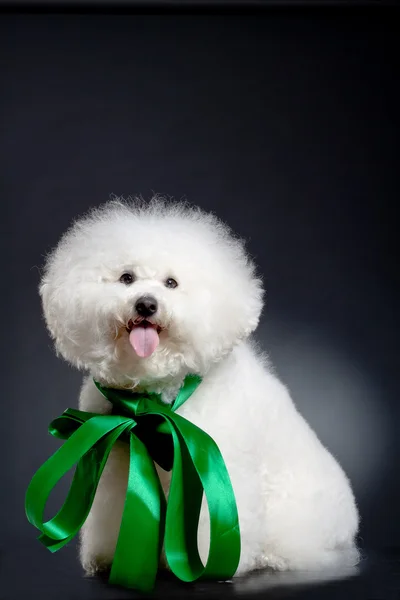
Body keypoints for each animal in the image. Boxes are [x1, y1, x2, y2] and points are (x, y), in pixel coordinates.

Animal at [39, 199, 360, 580]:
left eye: (171, 283)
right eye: (126, 278)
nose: (146, 304)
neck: (154, 398)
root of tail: (347, 526)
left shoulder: (213, 463)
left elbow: (212, 520)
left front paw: (209, 564)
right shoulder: (120, 463)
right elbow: (114, 511)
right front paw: (111, 556)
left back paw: (271, 557)